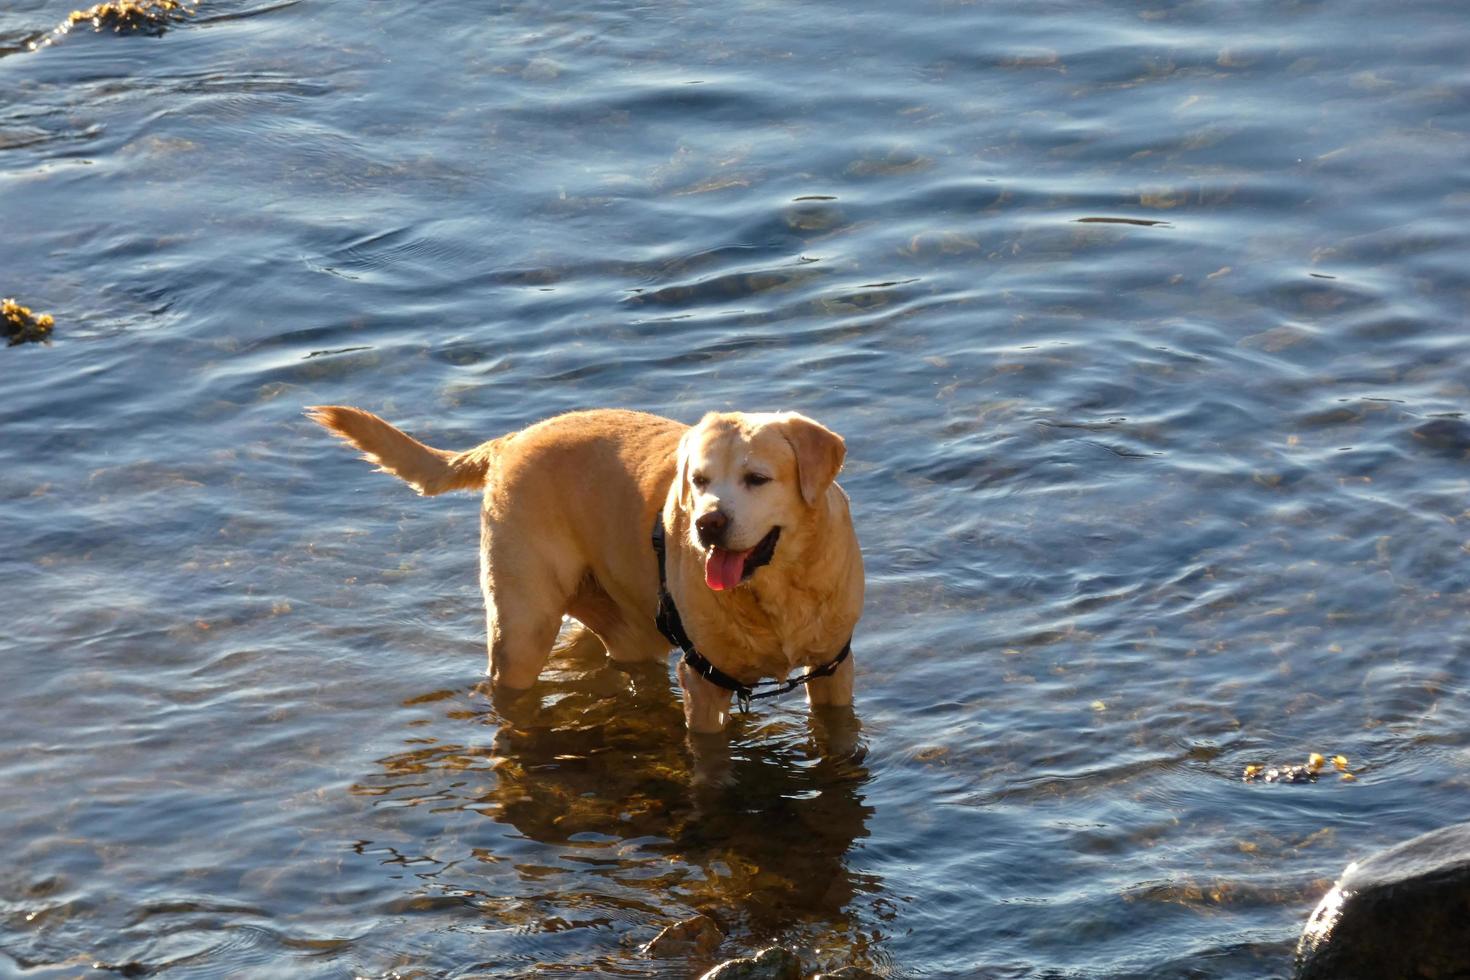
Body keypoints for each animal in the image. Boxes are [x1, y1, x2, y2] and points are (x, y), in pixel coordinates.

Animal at [307, 405, 858, 734]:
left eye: (757, 479)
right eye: (698, 481)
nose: (707, 524)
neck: (773, 591)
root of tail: (510, 440)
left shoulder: (833, 667)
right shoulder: (703, 680)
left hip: (630, 625)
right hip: (524, 625)